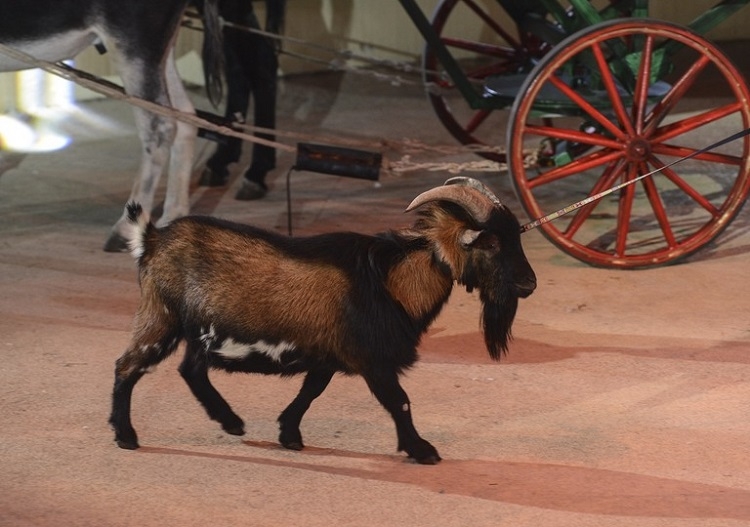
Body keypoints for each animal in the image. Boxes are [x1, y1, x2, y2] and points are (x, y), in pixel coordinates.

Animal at [0, 0, 223, 252]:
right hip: (159, 52)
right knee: (185, 118)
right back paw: (172, 219)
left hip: (134, 45)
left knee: (160, 128)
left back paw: (124, 231)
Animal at [110, 178, 536, 466]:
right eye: (491, 242)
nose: (529, 284)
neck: (391, 282)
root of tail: (152, 239)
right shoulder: (372, 359)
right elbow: (399, 401)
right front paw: (422, 450)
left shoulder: (328, 354)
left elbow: (311, 391)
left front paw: (289, 434)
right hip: (160, 316)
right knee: (128, 366)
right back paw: (126, 436)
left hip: (197, 331)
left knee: (191, 368)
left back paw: (231, 422)